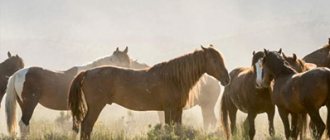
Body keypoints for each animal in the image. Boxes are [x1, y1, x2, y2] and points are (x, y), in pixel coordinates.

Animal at [68, 45, 231, 139]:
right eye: (214, 61)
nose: (227, 79)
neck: (173, 78)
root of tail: (87, 72)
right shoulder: (169, 110)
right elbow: (169, 128)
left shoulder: (177, 110)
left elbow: (178, 129)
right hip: (96, 106)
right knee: (87, 126)